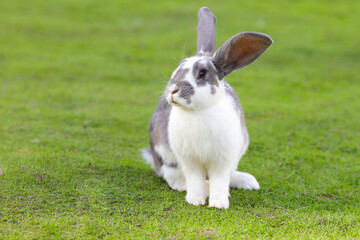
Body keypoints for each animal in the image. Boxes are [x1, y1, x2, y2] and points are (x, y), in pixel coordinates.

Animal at [142, 6, 272, 209]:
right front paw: (196, 199)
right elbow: (194, 180)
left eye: (202, 73)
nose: (172, 90)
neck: (198, 111)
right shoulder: (189, 161)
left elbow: (220, 181)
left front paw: (218, 203)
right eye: (177, 68)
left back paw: (248, 182)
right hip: (165, 158)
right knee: (171, 176)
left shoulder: (223, 160)